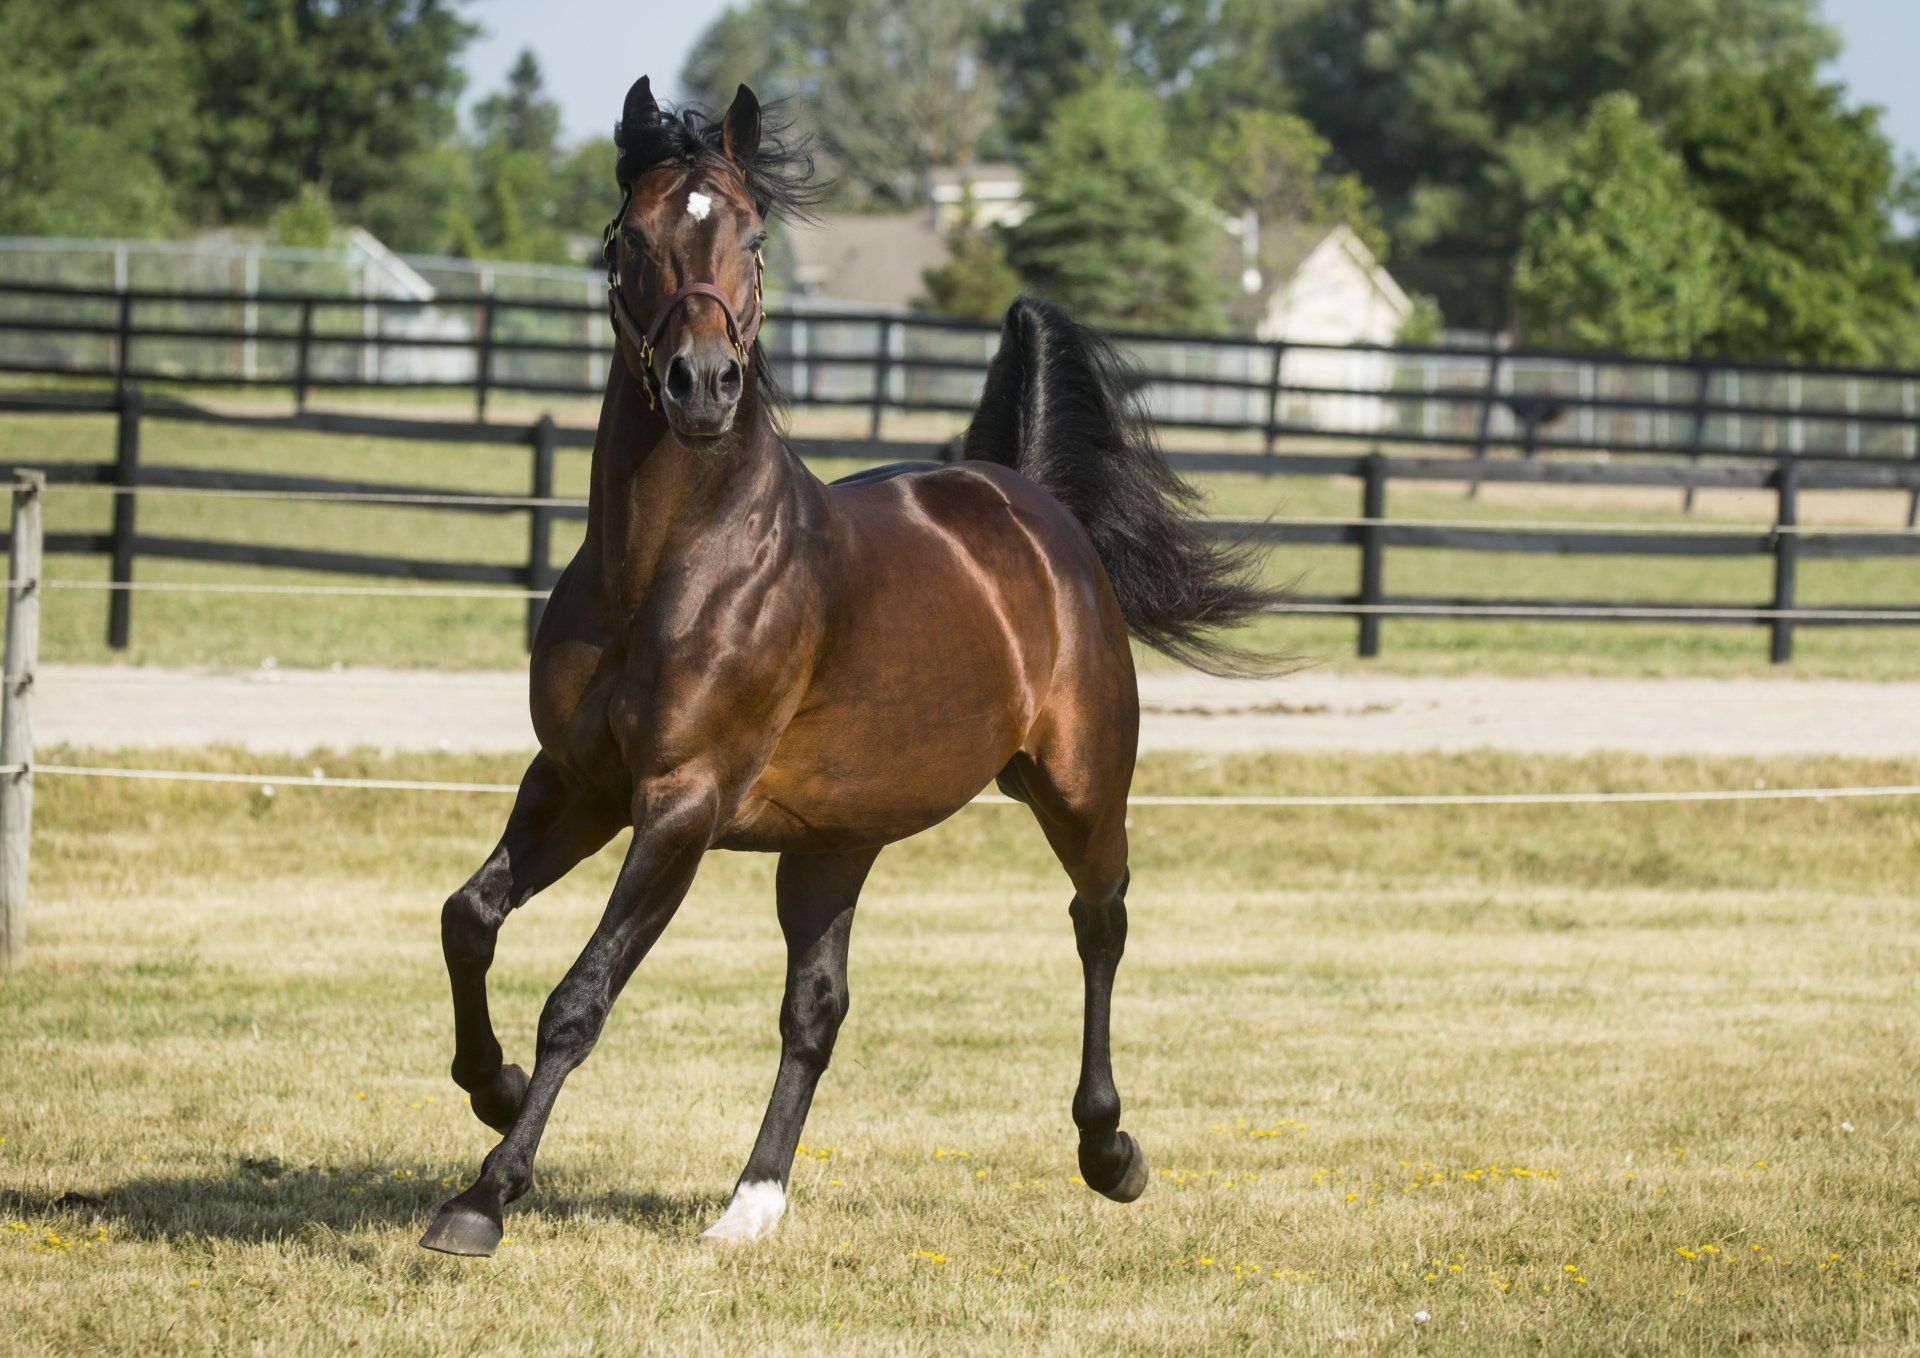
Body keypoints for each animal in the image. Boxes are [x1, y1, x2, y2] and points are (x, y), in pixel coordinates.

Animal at [419, 76, 1277, 1257]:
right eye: (630, 235)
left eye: (753, 238)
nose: (700, 385)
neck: (670, 565)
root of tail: (1027, 502)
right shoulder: (576, 782)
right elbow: (469, 917)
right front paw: (491, 1084)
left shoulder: (679, 805)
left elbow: (580, 998)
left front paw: (485, 1193)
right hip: (834, 842)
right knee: (816, 1007)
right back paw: (751, 1201)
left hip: (1079, 786)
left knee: (1099, 923)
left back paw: (1110, 1151)